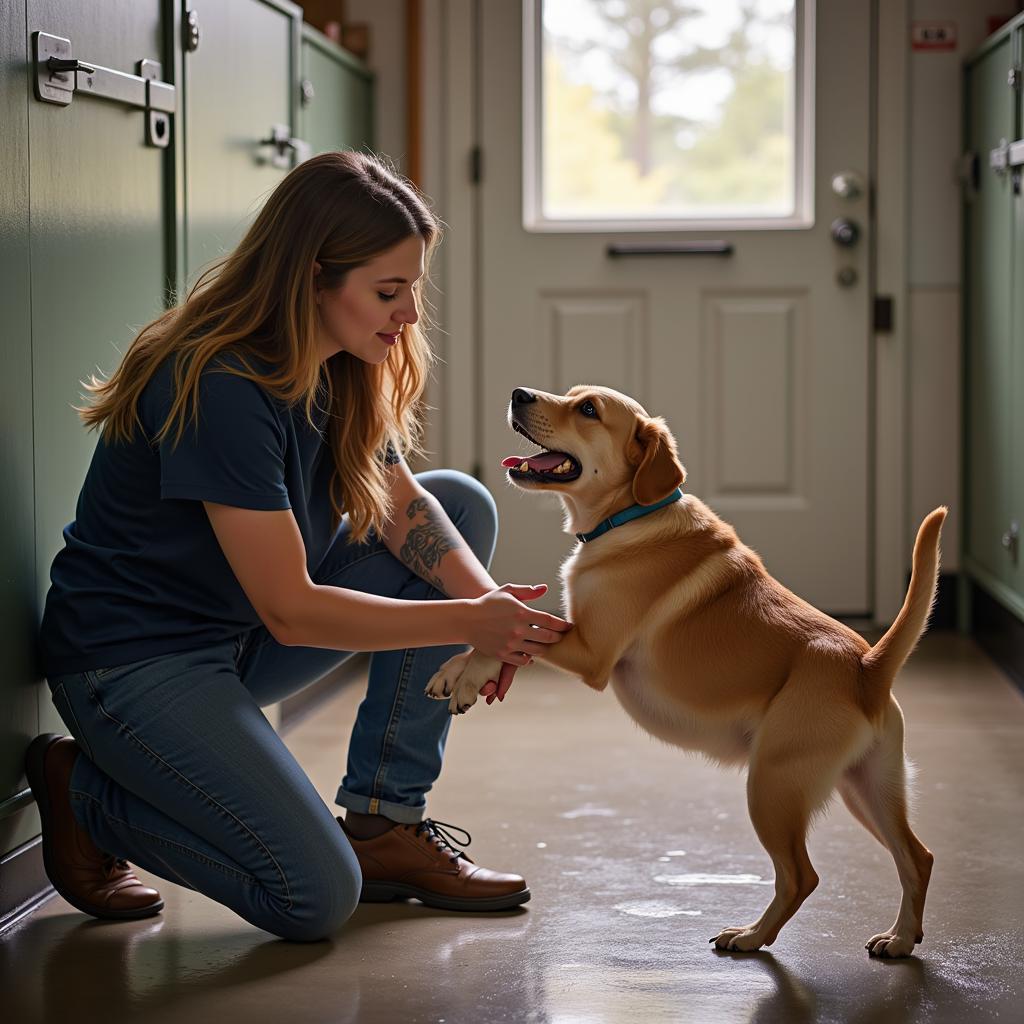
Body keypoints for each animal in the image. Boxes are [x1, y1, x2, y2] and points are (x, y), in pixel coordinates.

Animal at [423, 380, 942, 954]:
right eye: (572, 393)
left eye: (588, 409)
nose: (519, 393)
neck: (630, 516)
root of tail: (868, 666)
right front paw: (454, 670)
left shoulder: (589, 650)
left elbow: (523, 627)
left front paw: (469, 674)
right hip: (867, 788)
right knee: (917, 857)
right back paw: (901, 938)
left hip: (773, 787)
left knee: (801, 876)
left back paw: (752, 936)